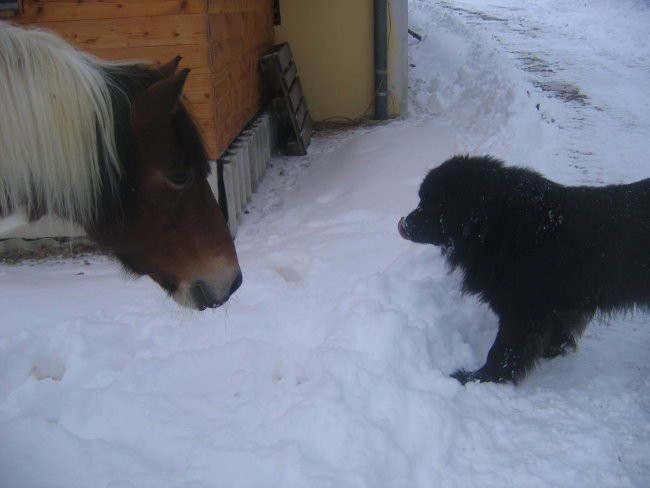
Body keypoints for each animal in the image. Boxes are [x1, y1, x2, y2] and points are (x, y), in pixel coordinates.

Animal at [398, 156, 644, 386]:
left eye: (431, 203)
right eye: (421, 198)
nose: (405, 224)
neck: (498, 225)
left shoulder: (522, 309)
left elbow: (503, 350)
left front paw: (479, 378)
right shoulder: (554, 305)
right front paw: (551, 352)